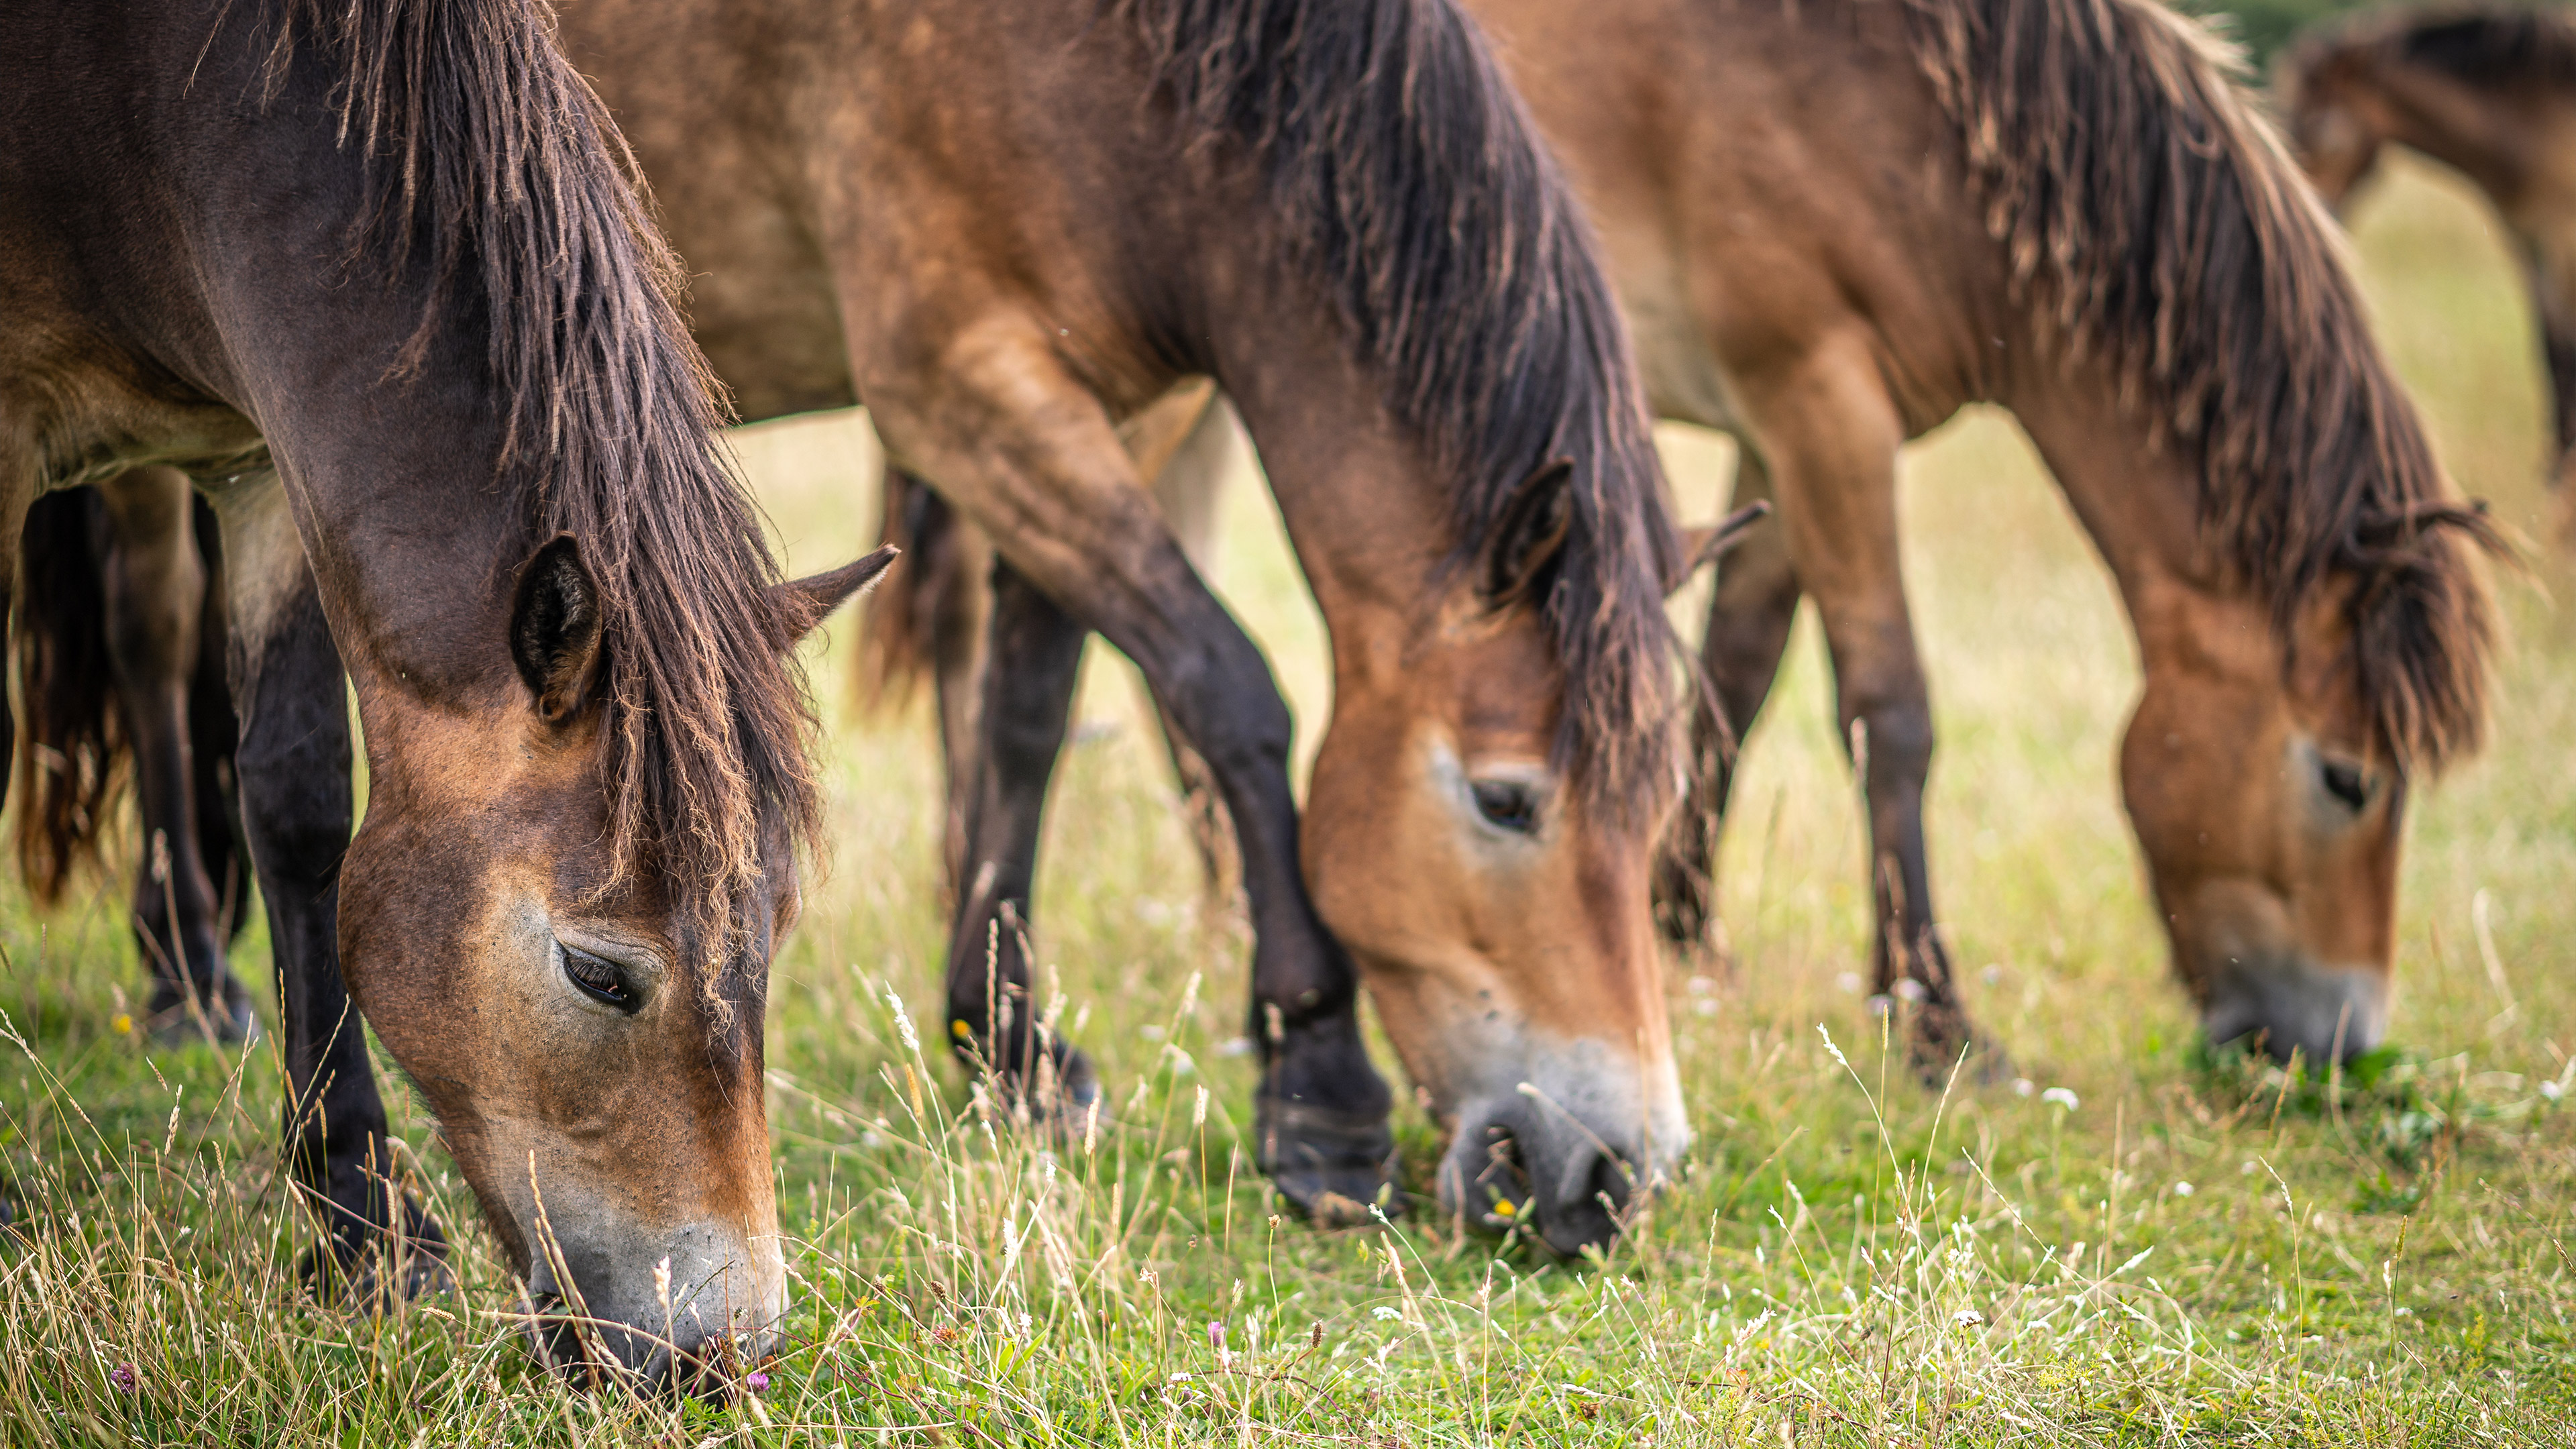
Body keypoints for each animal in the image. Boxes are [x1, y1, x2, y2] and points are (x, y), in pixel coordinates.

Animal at [3, 0, 889, 1385]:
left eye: (774, 931)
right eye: (596, 974)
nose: (722, 1356)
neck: (153, 116)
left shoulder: (267, 471)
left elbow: (301, 808)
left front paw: (362, 1226)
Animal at [876, 0, 2501, 1071]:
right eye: (2348, 779)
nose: (2340, 1043)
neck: (1918, 103)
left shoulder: (1792, 433)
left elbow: (1737, 677)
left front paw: (1679, 931)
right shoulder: (1821, 396)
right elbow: (1889, 711)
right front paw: (1935, 1021)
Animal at [2277, 3, 2576, 511]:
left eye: (2323, 132)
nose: (2311, 214)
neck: (2542, 117)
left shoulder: (2561, 243)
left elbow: (2566, 355)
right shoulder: (2531, 247)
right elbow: (2551, 358)